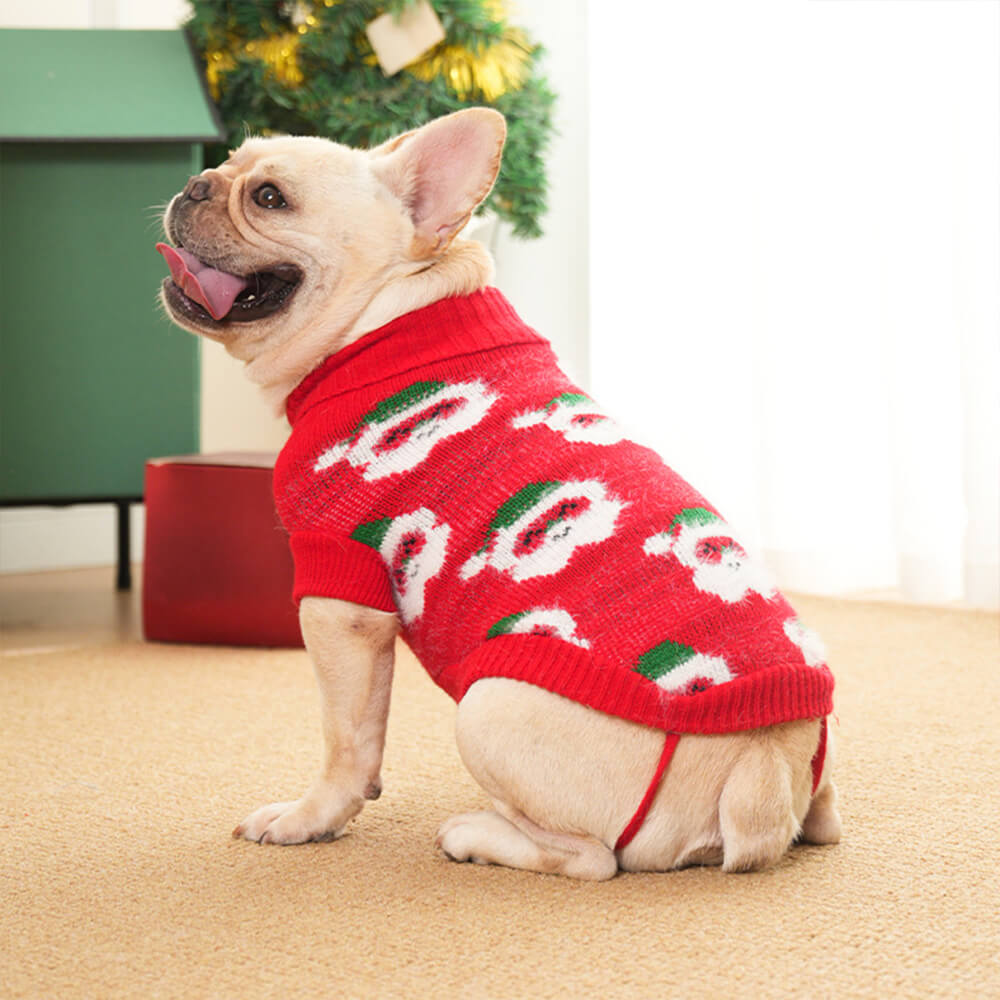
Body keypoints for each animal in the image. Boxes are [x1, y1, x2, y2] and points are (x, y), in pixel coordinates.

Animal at [158, 105, 844, 880]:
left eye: (270, 197)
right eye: (228, 163)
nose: (196, 183)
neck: (386, 319)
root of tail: (762, 771)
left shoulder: (341, 597)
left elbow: (346, 740)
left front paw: (309, 819)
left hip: (488, 707)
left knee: (590, 858)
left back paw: (475, 834)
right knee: (824, 818)